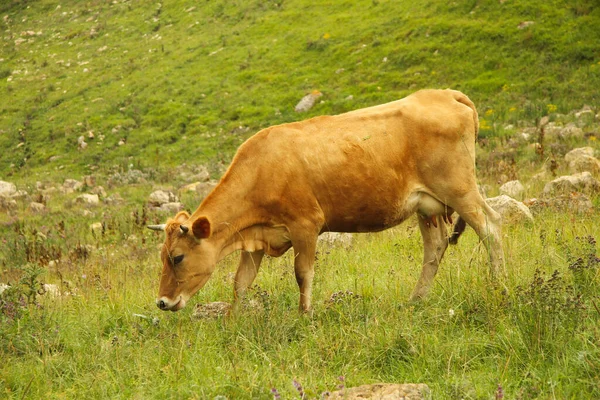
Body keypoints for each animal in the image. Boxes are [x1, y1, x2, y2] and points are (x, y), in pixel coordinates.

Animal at [148, 90, 504, 312]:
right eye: (163, 256)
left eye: (177, 257)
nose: (162, 302)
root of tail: (445, 93)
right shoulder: (257, 238)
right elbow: (241, 283)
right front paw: (231, 321)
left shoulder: (305, 224)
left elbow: (302, 274)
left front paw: (305, 316)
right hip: (426, 205)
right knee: (435, 247)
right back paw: (416, 300)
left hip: (460, 189)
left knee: (491, 227)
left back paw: (499, 287)